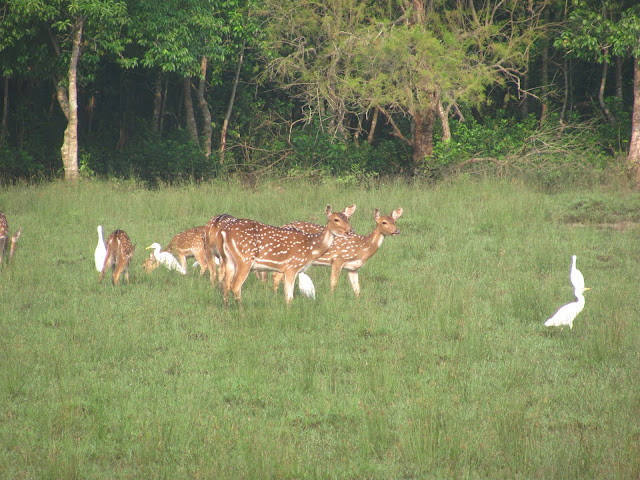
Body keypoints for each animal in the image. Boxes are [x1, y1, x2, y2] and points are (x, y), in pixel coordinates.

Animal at [220, 204, 356, 306]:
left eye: (347, 218)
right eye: (336, 219)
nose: (350, 231)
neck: (310, 249)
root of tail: (224, 232)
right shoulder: (292, 266)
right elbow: (289, 298)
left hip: (229, 260)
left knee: (225, 285)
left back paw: (227, 311)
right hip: (245, 258)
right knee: (235, 285)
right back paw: (241, 312)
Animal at [272, 207, 402, 296]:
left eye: (395, 221)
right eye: (384, 222)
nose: (397, 230)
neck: (362, 247)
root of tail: (283, 225)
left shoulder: (353, 267)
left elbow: (357, 289)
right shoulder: (338, 259)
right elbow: (333, 282)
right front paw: (332, 298)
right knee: (277, 275)